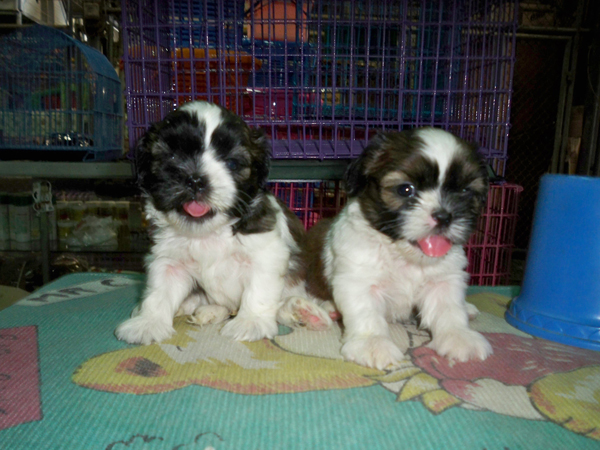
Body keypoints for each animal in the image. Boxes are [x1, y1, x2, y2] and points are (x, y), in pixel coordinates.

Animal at [115, 101, 330, 345]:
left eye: (232, 163)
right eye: (172, 157)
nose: (195, 179)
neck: (209, 233)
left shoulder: (267, 254)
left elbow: (258, 290)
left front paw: (250, 322)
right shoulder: (168, 261)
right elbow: (159, 292)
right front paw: (148, 322)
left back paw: (307, 312)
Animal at [302, 128, 493, 370]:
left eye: (465, 191)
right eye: (405, 189)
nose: (444, 216)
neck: (404, 256)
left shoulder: (444, 280)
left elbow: (449, 309)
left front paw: (459, 336)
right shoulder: (358, 280)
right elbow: (366, 313)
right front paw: (372, 343)